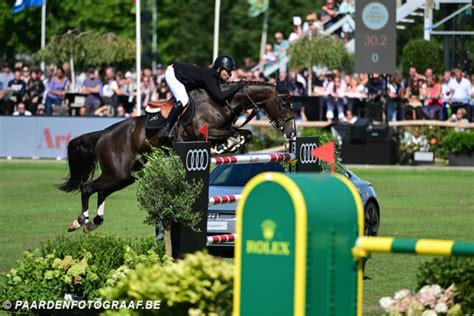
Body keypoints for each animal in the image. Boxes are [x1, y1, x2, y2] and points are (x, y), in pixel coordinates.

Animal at [59, 78, 296, 232]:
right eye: (284, 103)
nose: (292, 132)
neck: (222, 101)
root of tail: (103, 134)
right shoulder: (205, 132)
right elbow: (235, 133)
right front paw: (226, 146)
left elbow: (245, 133)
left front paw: (228, 146)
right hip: (117, 171)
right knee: (87, 188)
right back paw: (81, 221)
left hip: (127, 175)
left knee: (102, 191)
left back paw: (93, 221)